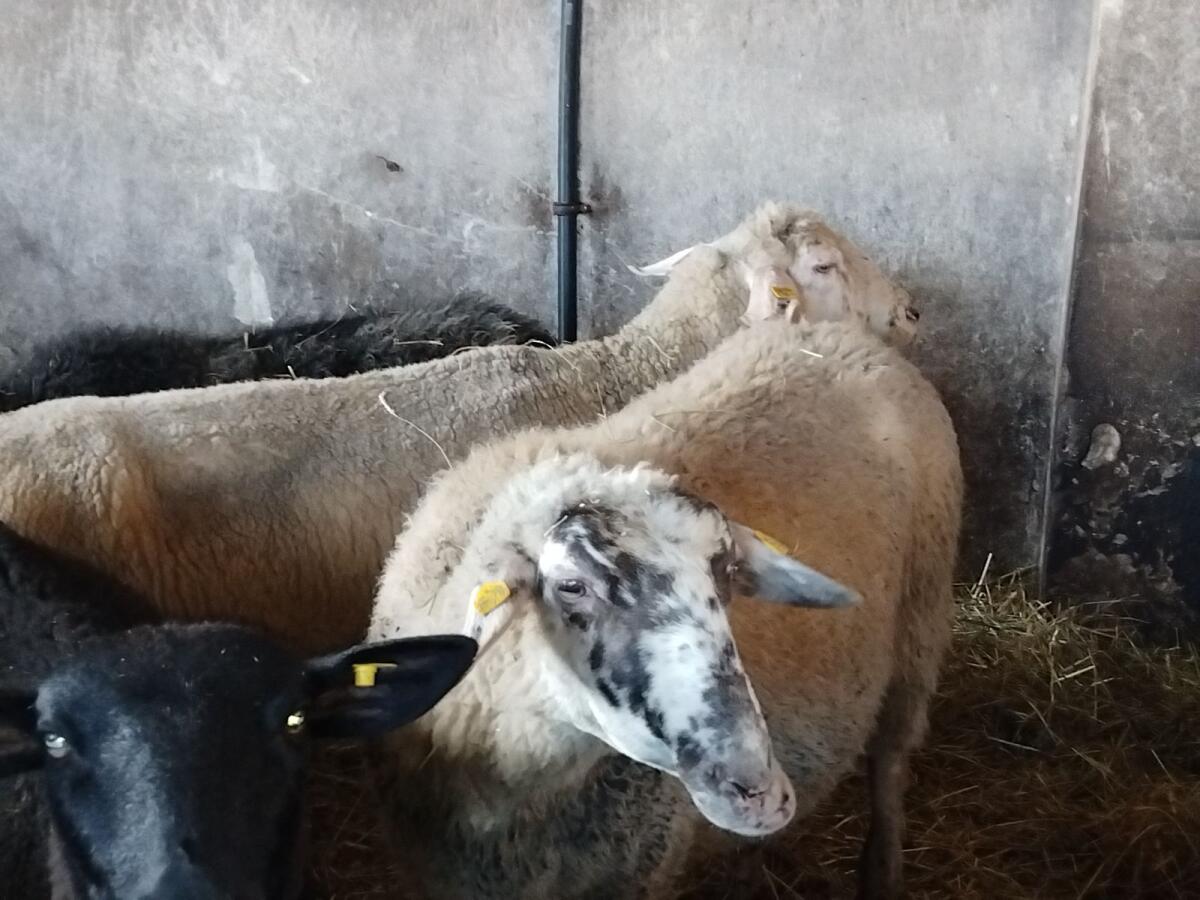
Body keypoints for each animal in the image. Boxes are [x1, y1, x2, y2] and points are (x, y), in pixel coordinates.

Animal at [365, 316, 962, 898]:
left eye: (725, 574)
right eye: (572, 586)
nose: (759, 793)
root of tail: (838, 332)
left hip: (920, 626)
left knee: (890, 763)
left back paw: (882, 873)